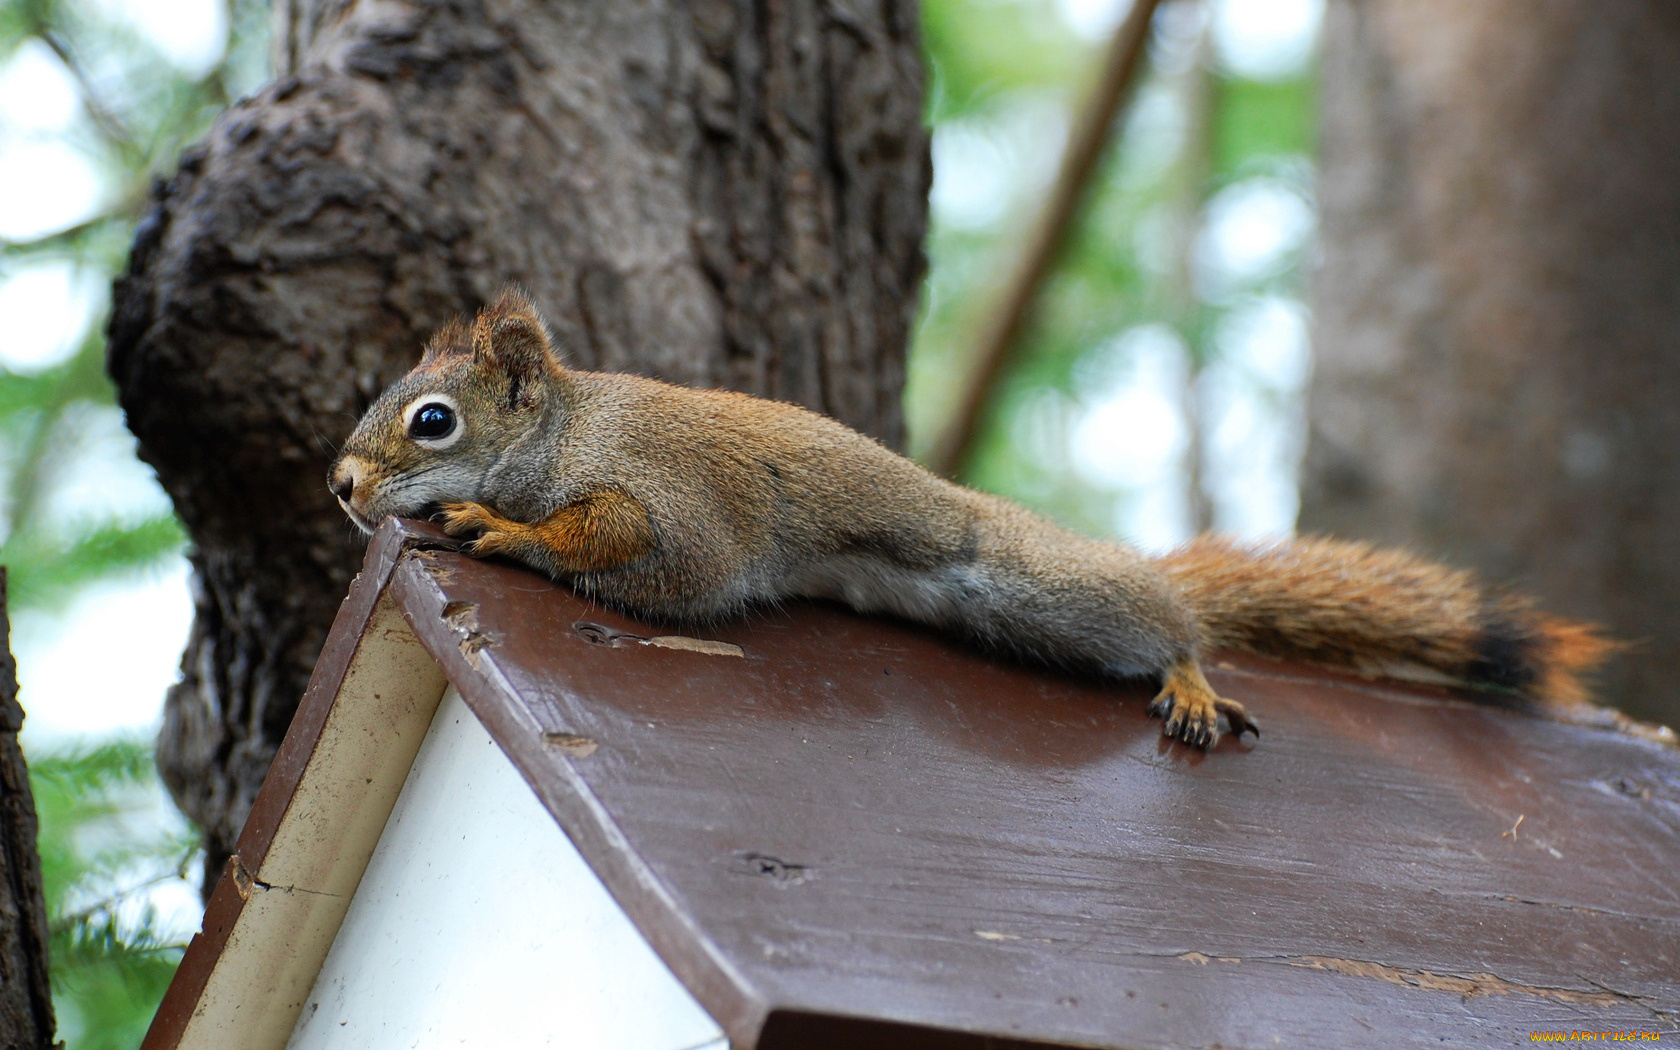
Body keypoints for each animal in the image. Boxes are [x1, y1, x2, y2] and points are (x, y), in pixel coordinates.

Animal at [327, 287, 1612, 745]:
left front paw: (501, 532)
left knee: (1174, 624)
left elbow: (628, 549)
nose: (340, 487)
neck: (566, 432)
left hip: (1041, 584)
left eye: (432, 421)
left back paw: (1192, 677)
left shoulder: (679, 507)